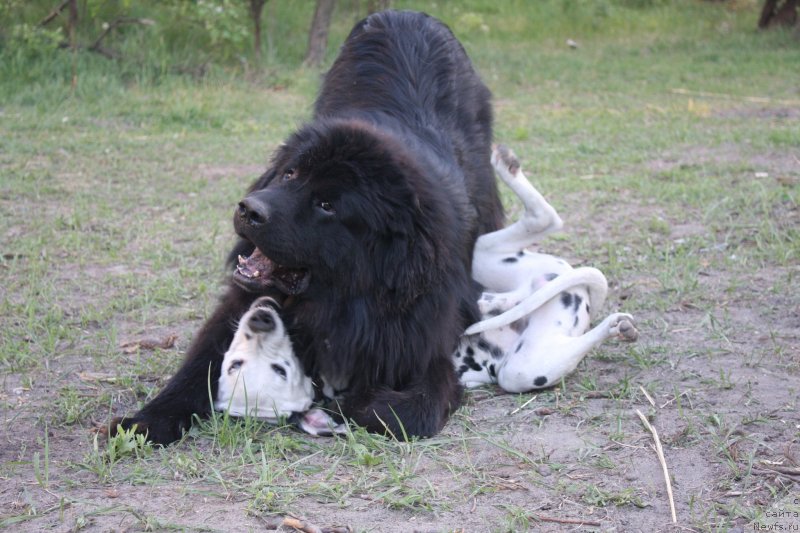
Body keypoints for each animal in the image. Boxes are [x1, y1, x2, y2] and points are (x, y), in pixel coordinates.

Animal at [111, 11, 504, 444]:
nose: (249, 210)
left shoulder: (423, 341)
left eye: (327, 205)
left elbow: (407, 410)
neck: (340, 300)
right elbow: (197, 369)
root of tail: (406, 14)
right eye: (290, 173)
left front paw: (349, 404)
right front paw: (144, 421)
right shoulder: (239, 305)